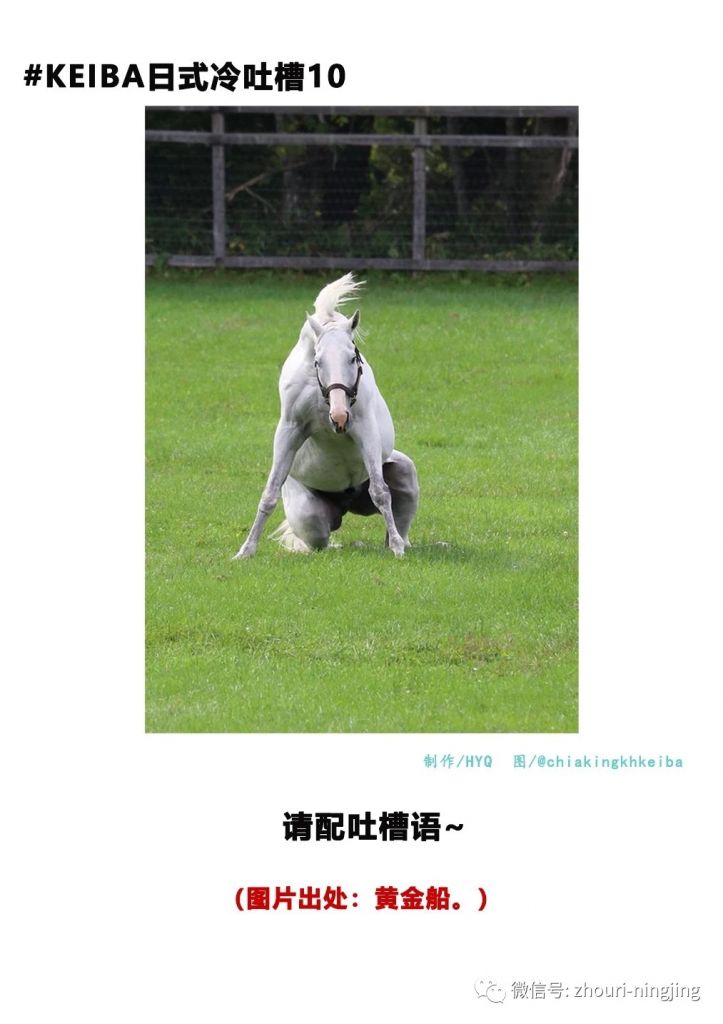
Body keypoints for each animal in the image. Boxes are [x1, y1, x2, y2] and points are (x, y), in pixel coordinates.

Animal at [234, 273, 419, 559]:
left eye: (353, 358)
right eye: (318, 361)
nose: (340, 416)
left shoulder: (366, 431)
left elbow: (380, 492)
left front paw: (398, 549)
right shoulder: (289, 430)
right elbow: (269, 495)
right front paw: (246, 550)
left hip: (404, 471)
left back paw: (402, 542)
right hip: (311, 519)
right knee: (317, 540)